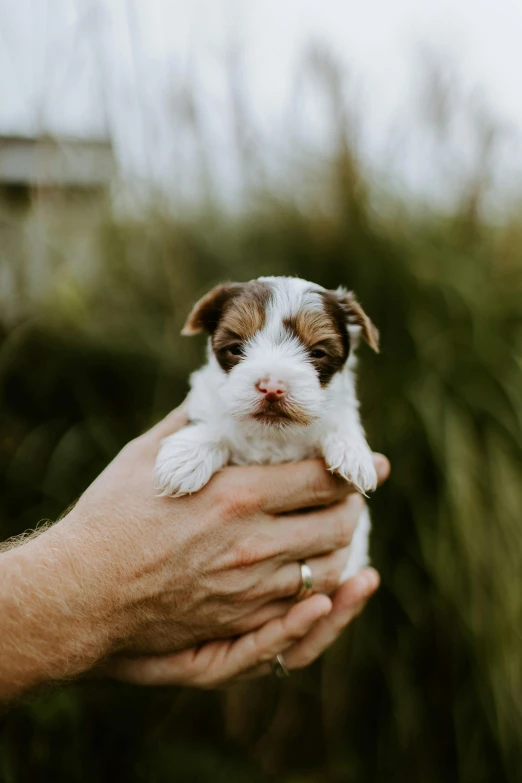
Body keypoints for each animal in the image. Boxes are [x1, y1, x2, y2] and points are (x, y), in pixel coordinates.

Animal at [154, 276, 378, 580]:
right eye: (236, 348)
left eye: (317, 352)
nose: (272, 387)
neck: (274, 437)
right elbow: (211, 425)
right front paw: (183, 460)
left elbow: (340, 422)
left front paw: (354, 455)